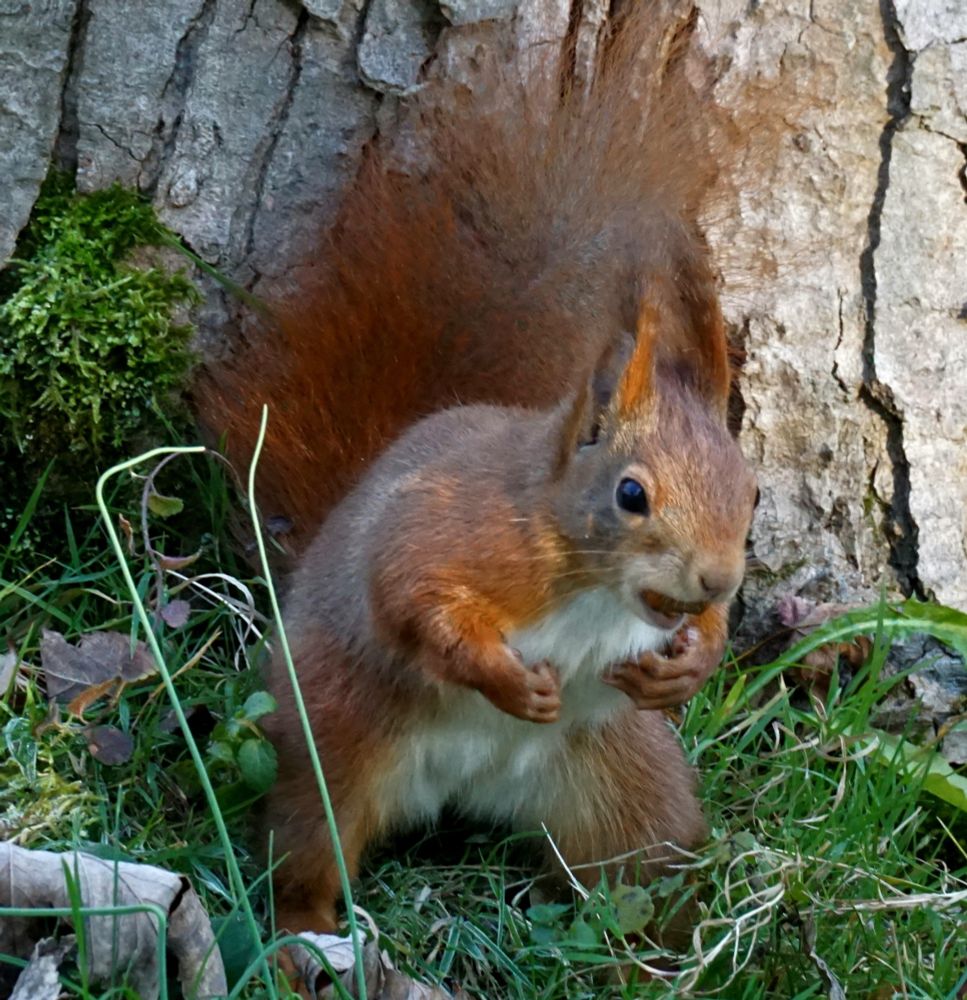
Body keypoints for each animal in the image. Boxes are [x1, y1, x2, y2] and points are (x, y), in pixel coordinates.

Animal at [202, 5, 759, 934]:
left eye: (752, 492)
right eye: (630, 494)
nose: (715, 578)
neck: (589, 585)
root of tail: (468, 792)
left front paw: (690, 662)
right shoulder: (456, 530)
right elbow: (415, 599)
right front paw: (505, 679)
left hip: (629, 794)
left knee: (640, 870)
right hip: (335, 740)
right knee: (306, 841)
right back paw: (304, 936)